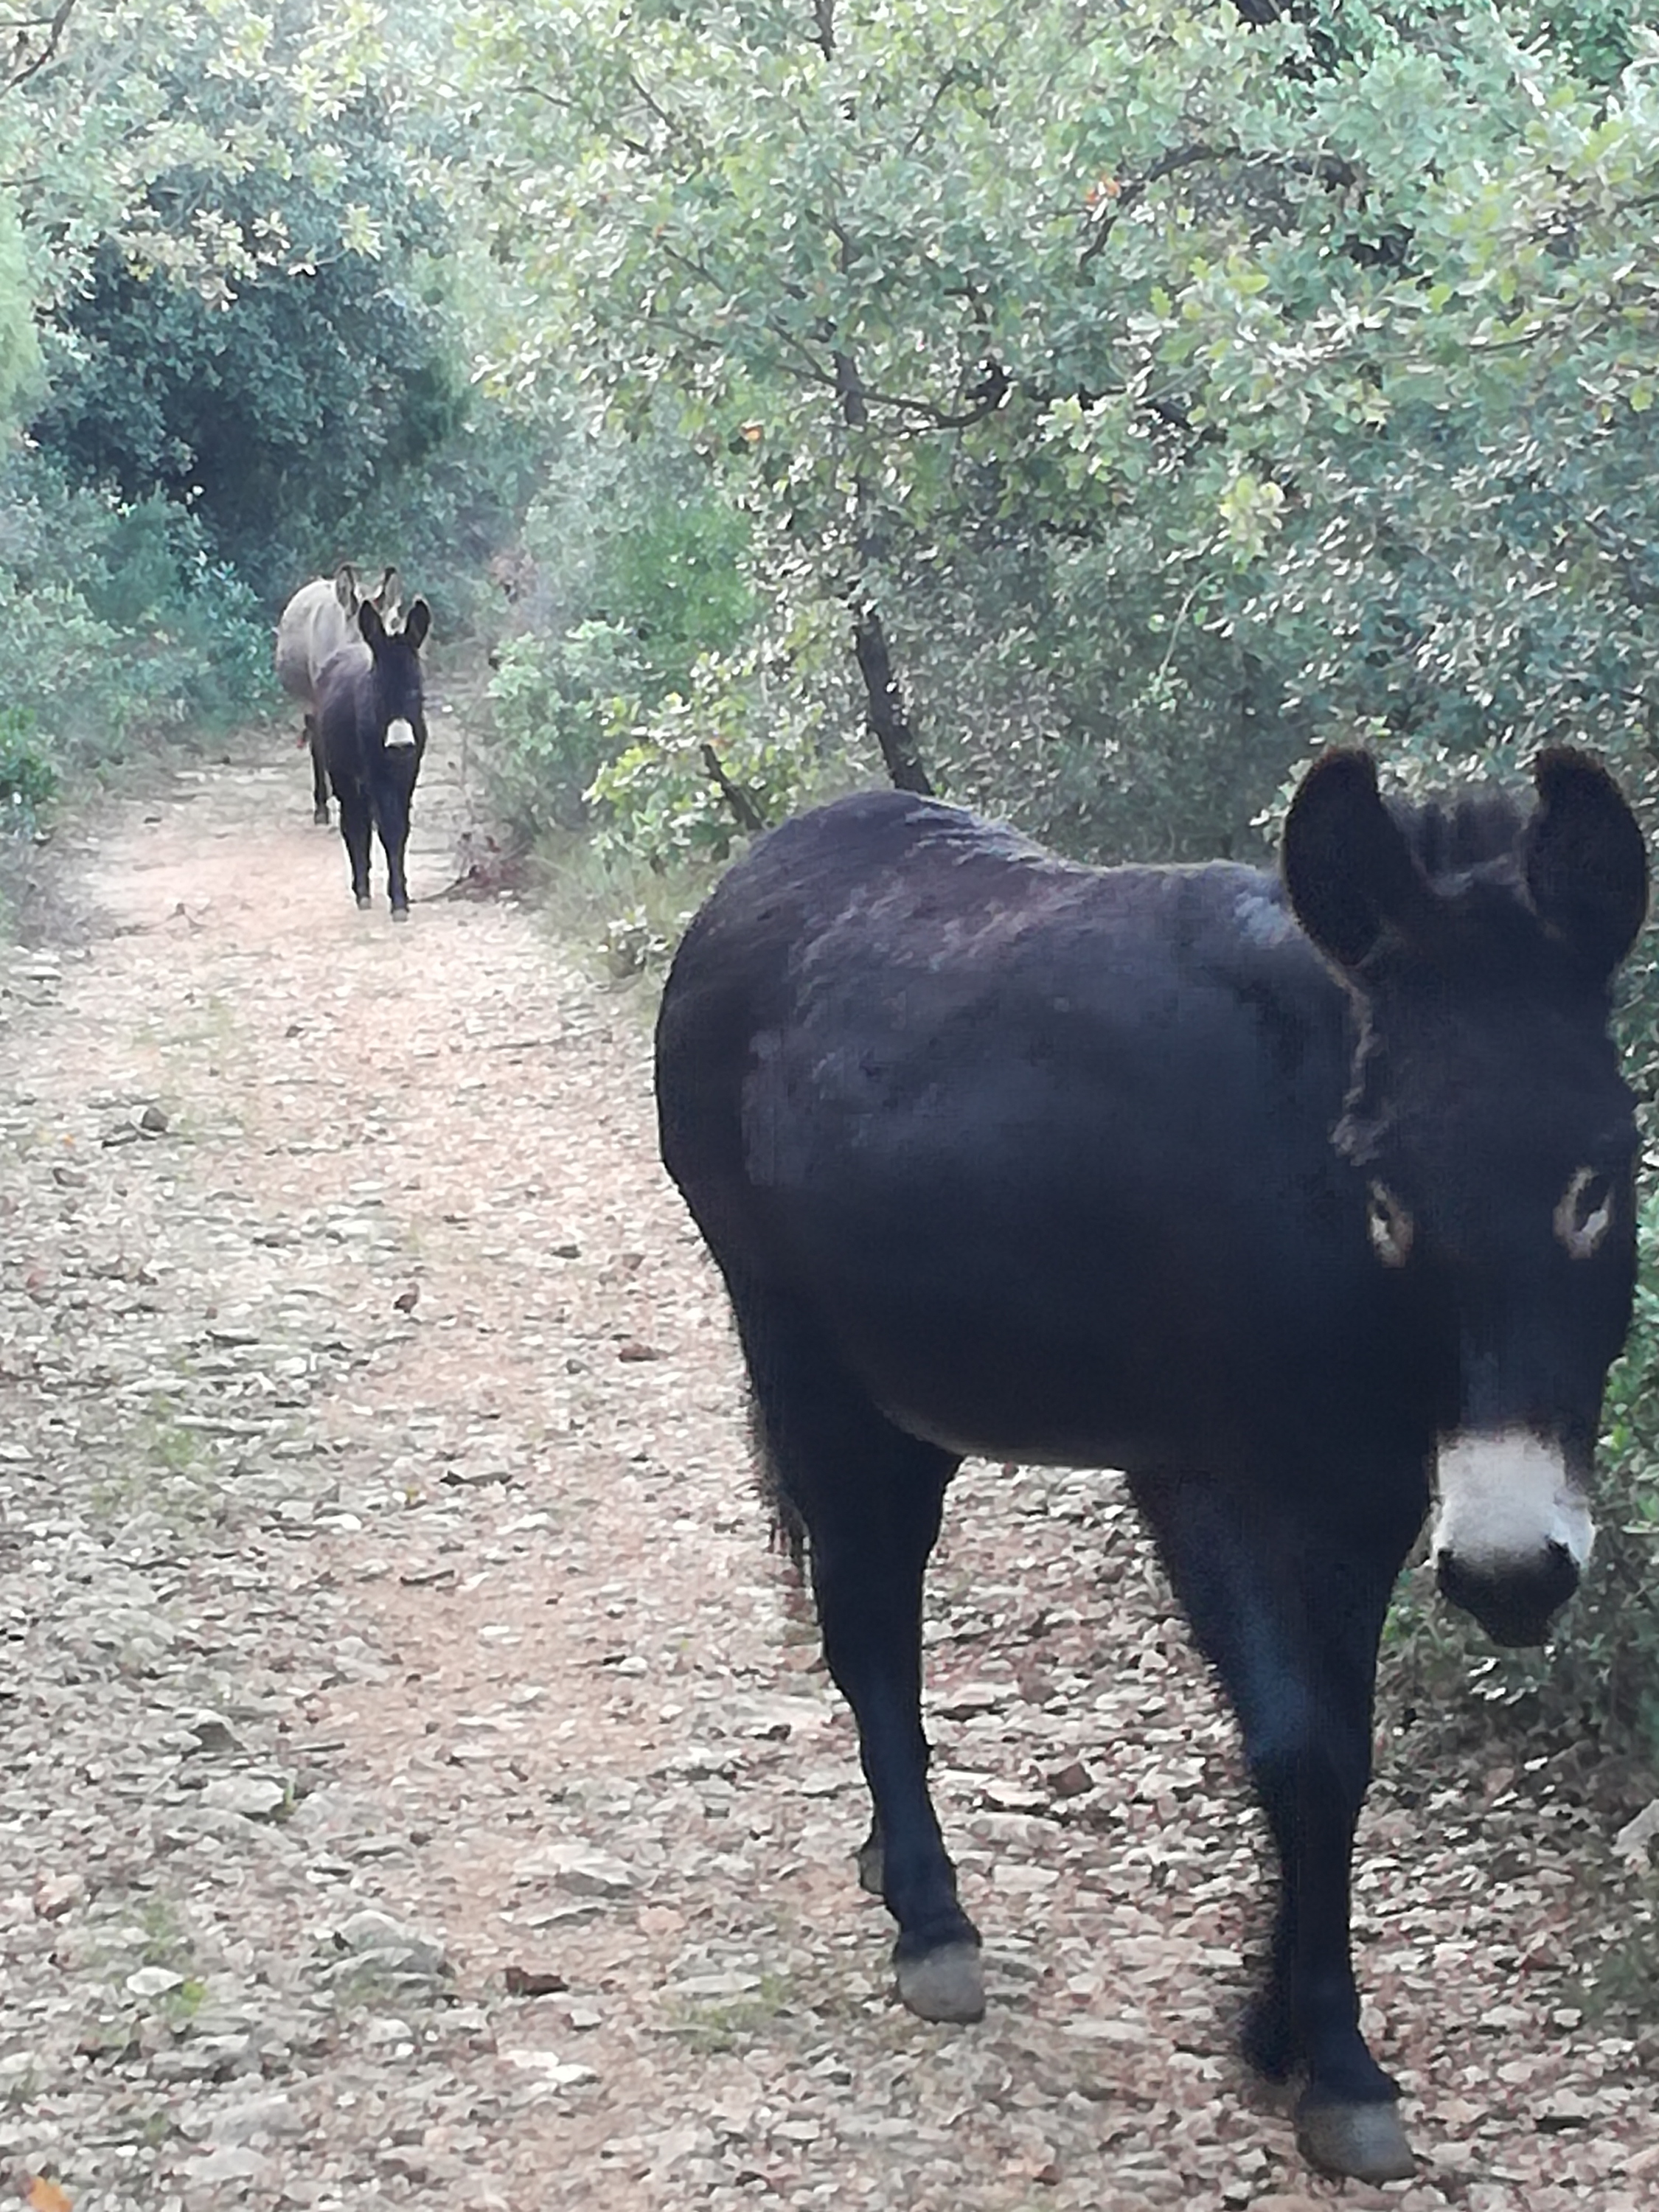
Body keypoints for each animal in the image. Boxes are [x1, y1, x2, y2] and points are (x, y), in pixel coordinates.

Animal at [314, 596, 431, 919]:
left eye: (416, 690)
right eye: (379, 690)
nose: (400, 744)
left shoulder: (408, 774)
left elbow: (401, 829)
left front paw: (402, 896)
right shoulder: (376, 774)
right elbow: (387, 829)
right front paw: (398, 903)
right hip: (342, 772)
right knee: (354, 823)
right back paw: (362, 891)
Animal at [653, 747, 1648, 2184]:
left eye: (1602, 1180)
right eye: (1383, 1192)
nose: (1514, 1577)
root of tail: (779, 850)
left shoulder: (1375, 1492)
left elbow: (1342, 1746)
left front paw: (1280, 2024)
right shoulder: (1206, 1483)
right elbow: (1298, 1749)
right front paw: (1332, 2060)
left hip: (914, 1385)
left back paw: (888, 1862)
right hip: (799, 1350)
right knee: (865, 1617)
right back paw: (931, 1920)